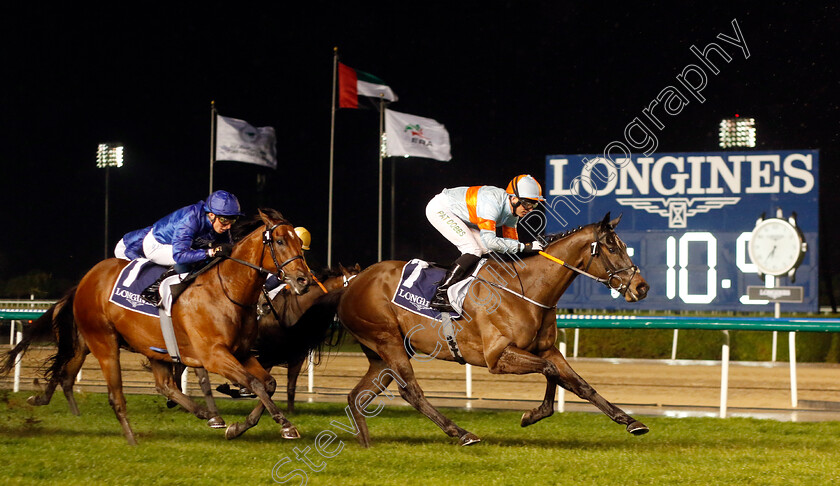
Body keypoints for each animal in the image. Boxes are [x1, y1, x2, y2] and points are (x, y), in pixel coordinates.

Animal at [69, 209, 312, 444]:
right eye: (280, 241)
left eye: (299, 242)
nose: (304, 280)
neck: (226, 290)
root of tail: (88, 277)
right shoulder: (214, 356)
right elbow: (254, 383)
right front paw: (285, 424)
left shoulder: (241, 352)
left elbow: (269, 384)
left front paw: (238, 427)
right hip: (104, 342)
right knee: (116, 395)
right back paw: (132, 439)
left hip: (151, 346)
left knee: (165, 385)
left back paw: (206, 414)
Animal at [334, 211, 648, 446]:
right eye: (612, 247)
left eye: (624, 246)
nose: (641, 287)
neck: (525, 289)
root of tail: (354, 281)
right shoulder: (498, 357)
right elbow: (550, 371)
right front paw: (533, 414)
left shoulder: (546, 349)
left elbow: (579, 383)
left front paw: (631, 421)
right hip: (388, 341)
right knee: (411, 392)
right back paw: (462, 433)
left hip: (382, 355)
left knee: (356, 397)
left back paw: (366, 444)